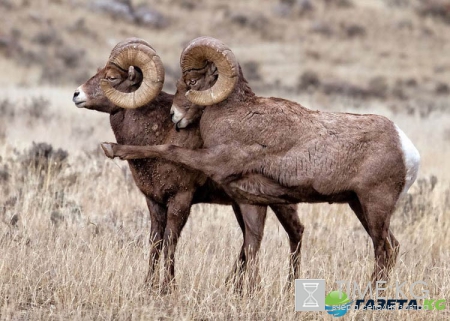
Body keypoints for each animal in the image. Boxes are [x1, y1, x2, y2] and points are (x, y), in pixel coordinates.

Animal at [73, 37, 302, 290]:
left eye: (112, 77)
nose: (77, 95)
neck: (158, 131)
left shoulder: (180, 199)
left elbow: (170, 242)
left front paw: (168, 288)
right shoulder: (155, 202)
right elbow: (155, 243)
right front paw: (148, 286)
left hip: (280, 203)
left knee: (295, 233)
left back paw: (287, 288)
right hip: (241, 203)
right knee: (249, 239)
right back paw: (232, 287)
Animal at [103, 36, 422, 282]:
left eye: (192, 82)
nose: (175, 117)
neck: (235, 115)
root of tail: (407, 149)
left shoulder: (214, 160)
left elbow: (169, 149)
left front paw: (112, 149)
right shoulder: (252, 200)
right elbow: (252, 246)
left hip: (375, 206)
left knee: (383, 251)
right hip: (360, 206)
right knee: (392, 248)